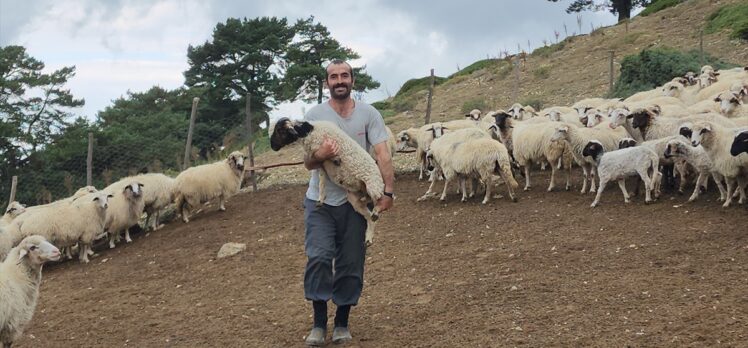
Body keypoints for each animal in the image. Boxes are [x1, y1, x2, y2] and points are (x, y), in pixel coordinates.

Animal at [268, 118, 386, 246]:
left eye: (279, 130)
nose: (272, 146)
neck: (307, 130)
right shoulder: (321, 162)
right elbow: (322, 181)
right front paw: (320, 200)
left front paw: (337, 159)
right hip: (355, 200)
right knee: (369, 217)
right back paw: (368, 238)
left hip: (373, 186)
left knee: (379, 200)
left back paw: (375, 211)